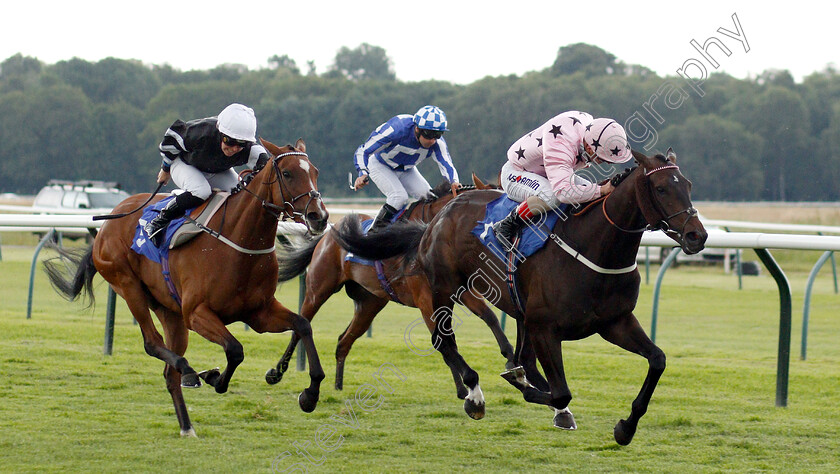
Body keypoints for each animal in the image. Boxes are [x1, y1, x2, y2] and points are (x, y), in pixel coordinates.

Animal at [43, 137, 328, 436]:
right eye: (287, 173)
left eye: (315, 172)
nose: (319, 216)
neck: (239, 242)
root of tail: (109, 221)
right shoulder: (196, 313)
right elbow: (235, 350)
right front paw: (214, 377)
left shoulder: (259, 313)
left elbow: (302, 325)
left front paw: (308, 394)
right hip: (128, 286)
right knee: (152, 343)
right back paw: (190, 372)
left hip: (169, 311)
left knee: (169, 374)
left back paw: (187, 425)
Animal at [272, 176, 536, 398]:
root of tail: (328, 235)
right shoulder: (425, 298)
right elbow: (443, 339)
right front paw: (465, 388)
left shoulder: (459, 290)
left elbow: (489, 317)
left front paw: (512, 362)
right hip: (319, 289)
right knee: (301, 325)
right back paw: (277, 372)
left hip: (369, 303)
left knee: (343, 341)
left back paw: (338, 385)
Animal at [334, 149, 708, 444]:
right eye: (661, 188)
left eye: (688, 186)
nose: (697, 236)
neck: (595, 246)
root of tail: (439, 216)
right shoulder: (544, 327)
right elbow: (559, 389)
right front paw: (532, 391)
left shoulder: (614, 322)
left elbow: (657, 360)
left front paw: (625, 428)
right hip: (441, 290)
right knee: (445, 342)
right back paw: (474, 395)